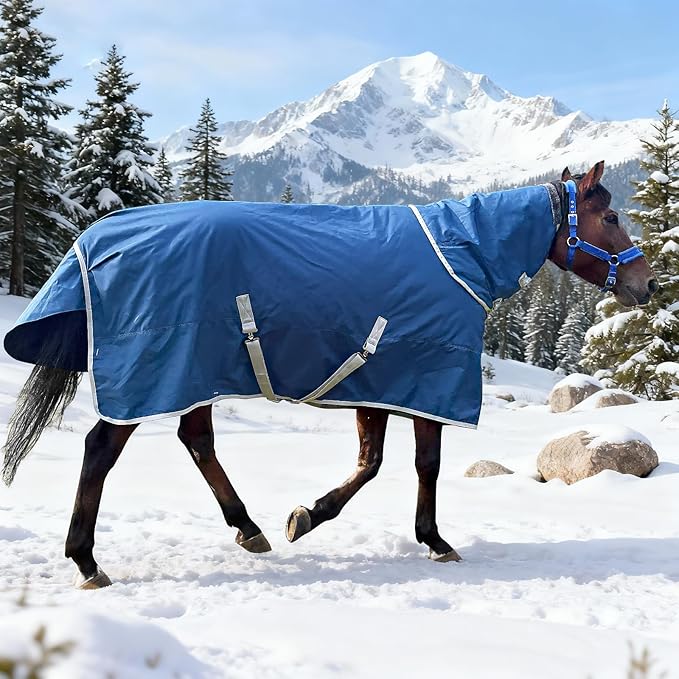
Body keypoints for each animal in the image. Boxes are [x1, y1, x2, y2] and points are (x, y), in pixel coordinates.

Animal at [1, 161, 656, 589]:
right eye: (611, 215)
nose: (646, 284)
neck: (463, 254)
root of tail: (99, 235)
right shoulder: (418, 381)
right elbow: (418, 465)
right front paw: (431, 540)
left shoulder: (380, 385)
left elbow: (371, 464)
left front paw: (305, 518)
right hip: (158, 371)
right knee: (101, 449)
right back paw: (86, 560)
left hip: (196, 372)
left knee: (197, 440)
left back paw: (248, 528)